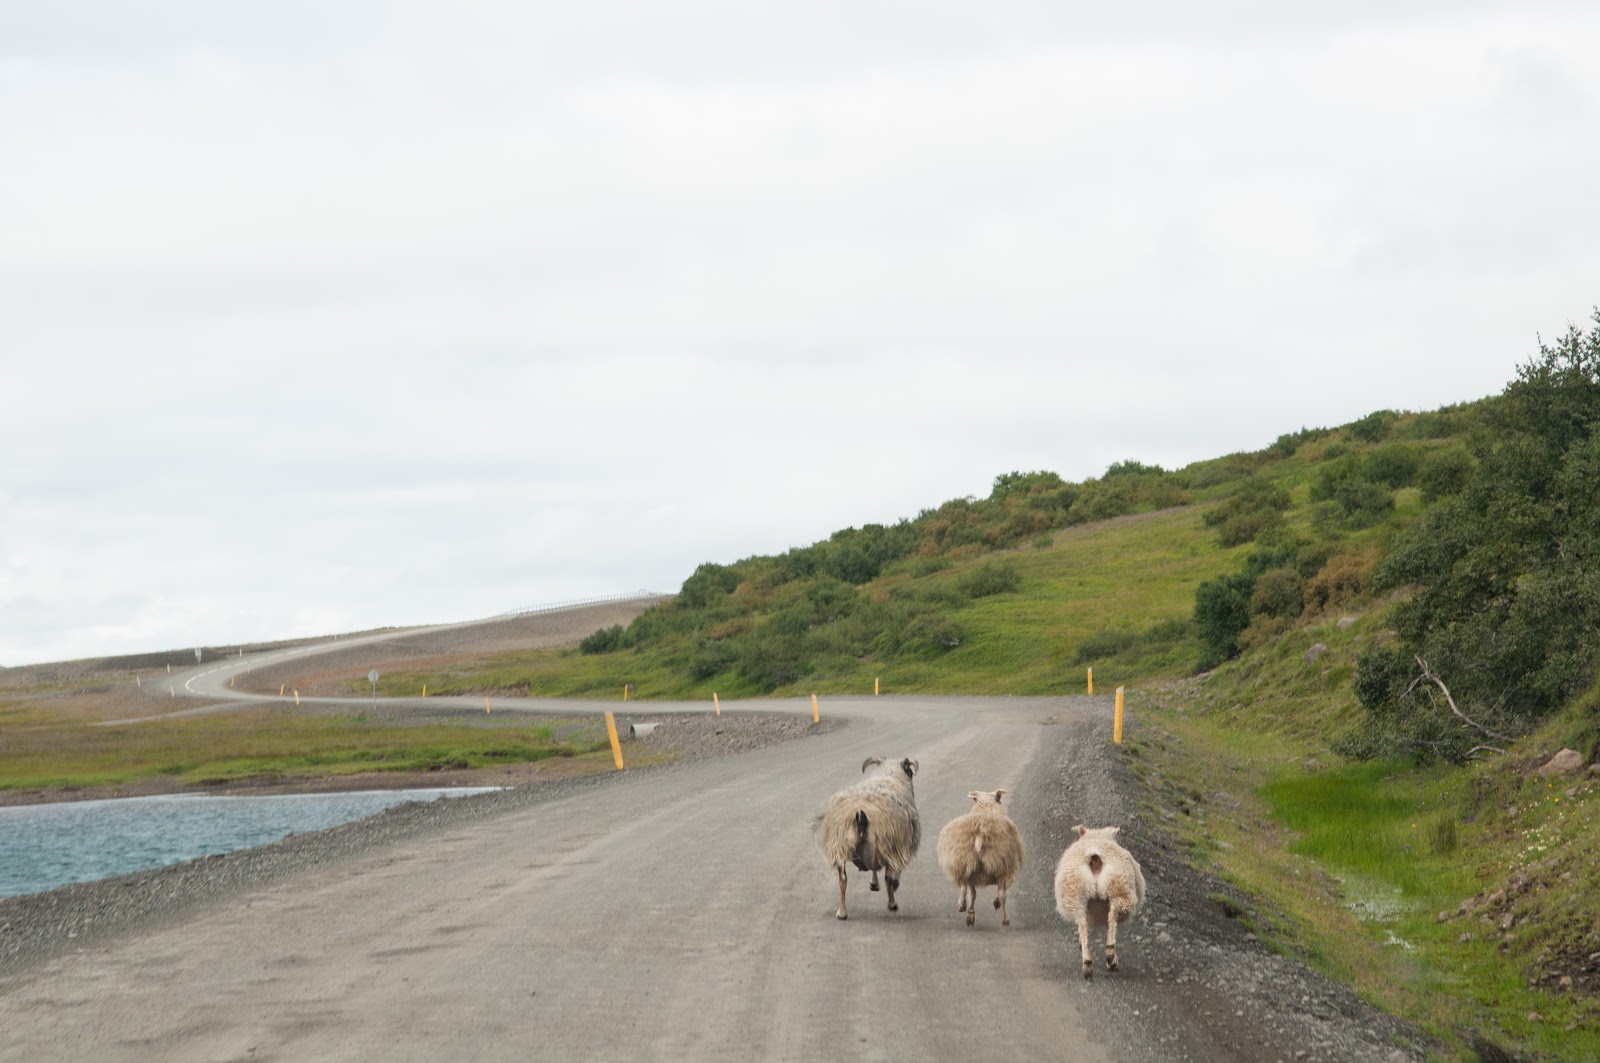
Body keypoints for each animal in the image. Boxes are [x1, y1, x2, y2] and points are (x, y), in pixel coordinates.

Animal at [815, 756, 921, 920]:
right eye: (909, 771)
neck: (889, 775)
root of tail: (860, 815)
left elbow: (873, 868)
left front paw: (873, 884)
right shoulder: (900, 844)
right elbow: (891, 873)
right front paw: (889, 885)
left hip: (841, 846)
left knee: (843, 880)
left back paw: (842, 912)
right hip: (886, 843)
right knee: (888, 877)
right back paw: (892, 903)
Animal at [936, 789, 1025, 928]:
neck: (986, 806)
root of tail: (980, 831)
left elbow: (973, 894)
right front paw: (996, 903)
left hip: (965, 864)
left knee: (967, 889)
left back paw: (966, 909)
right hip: (1003, 865)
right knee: (1001, 894)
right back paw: (1004, 918)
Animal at [1053, 824, 1146, 979]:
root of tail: (1095, 857)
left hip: (1076, 894)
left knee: (1083, 926)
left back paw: (1087, 963)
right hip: (1119, 888)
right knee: (1113, 915)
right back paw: (1110, 955)